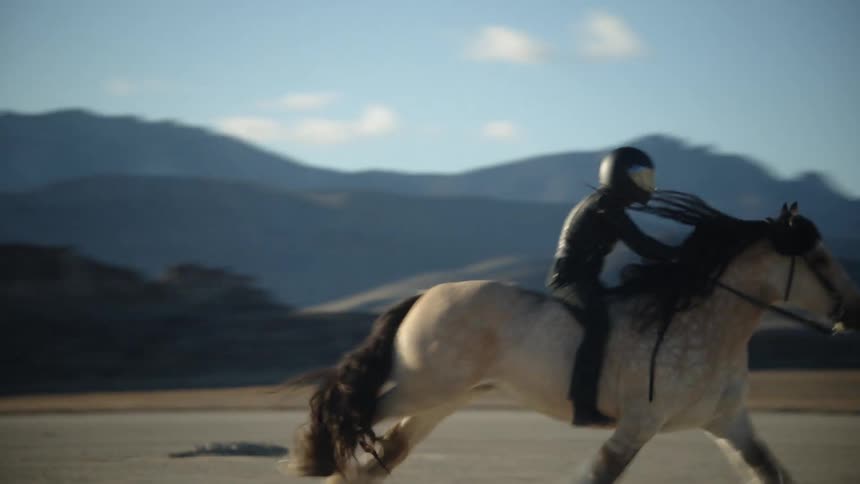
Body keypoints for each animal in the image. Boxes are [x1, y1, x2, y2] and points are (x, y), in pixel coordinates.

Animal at [283, 200, 860, 484]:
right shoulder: (638, 424)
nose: (853, 310)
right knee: (348, 411)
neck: (703, 322)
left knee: (380, 457)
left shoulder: (728, 422)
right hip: (420, 388)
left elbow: (770, 472)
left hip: (440, 401)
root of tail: (424, 295)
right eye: (819, 258)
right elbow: (599, 474)